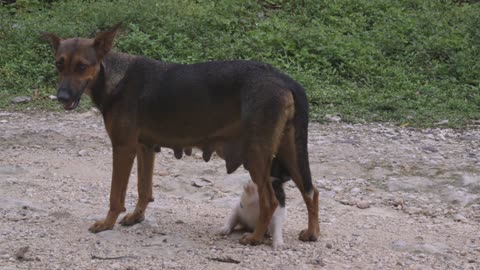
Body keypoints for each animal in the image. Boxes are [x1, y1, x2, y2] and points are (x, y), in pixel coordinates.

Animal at [43, 24, 320, 245]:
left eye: (82, 66)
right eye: (59, 64)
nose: (62, 97)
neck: (113, 75)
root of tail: (284, 78)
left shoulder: (123, 148)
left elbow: (115, 195)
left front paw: (106, 223)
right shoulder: (144, 148)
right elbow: (144, 189)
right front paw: (137, 217)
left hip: (257, 155)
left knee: (270, 200)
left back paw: (254, 237)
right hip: (289, 151)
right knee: (311, 192)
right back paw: (312, 233)